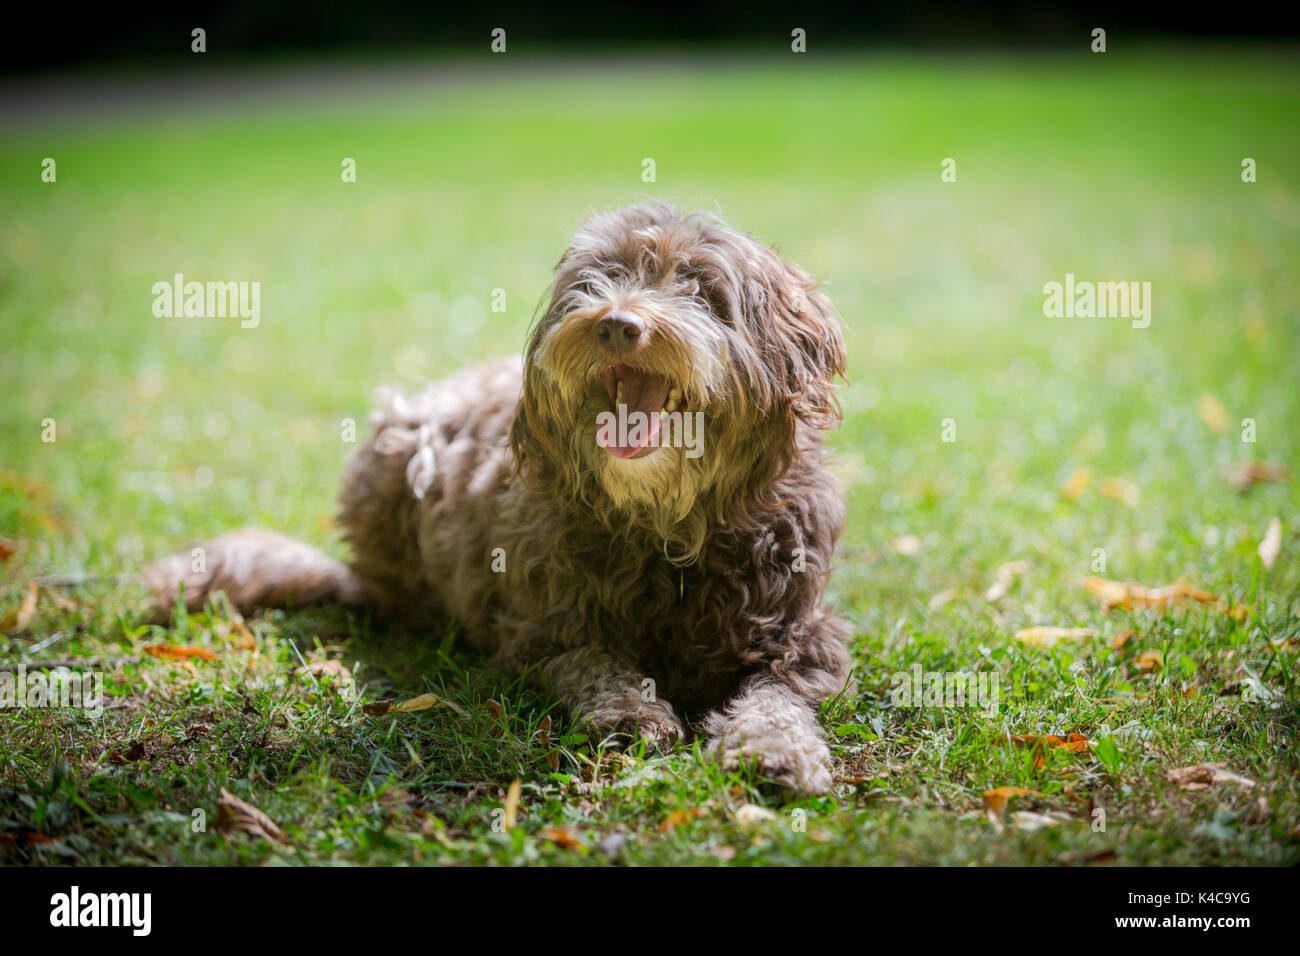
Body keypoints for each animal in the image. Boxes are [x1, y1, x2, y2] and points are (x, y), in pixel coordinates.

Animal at [147, 205, 852, 796]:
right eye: (599, 279)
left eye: (699, 288)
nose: (617, 325)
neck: (668, 528)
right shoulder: (539, 631)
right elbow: (593, 661)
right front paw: (629, 712)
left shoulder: (802, 637)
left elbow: (776, 699)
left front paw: (775, 751)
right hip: (397, 451)